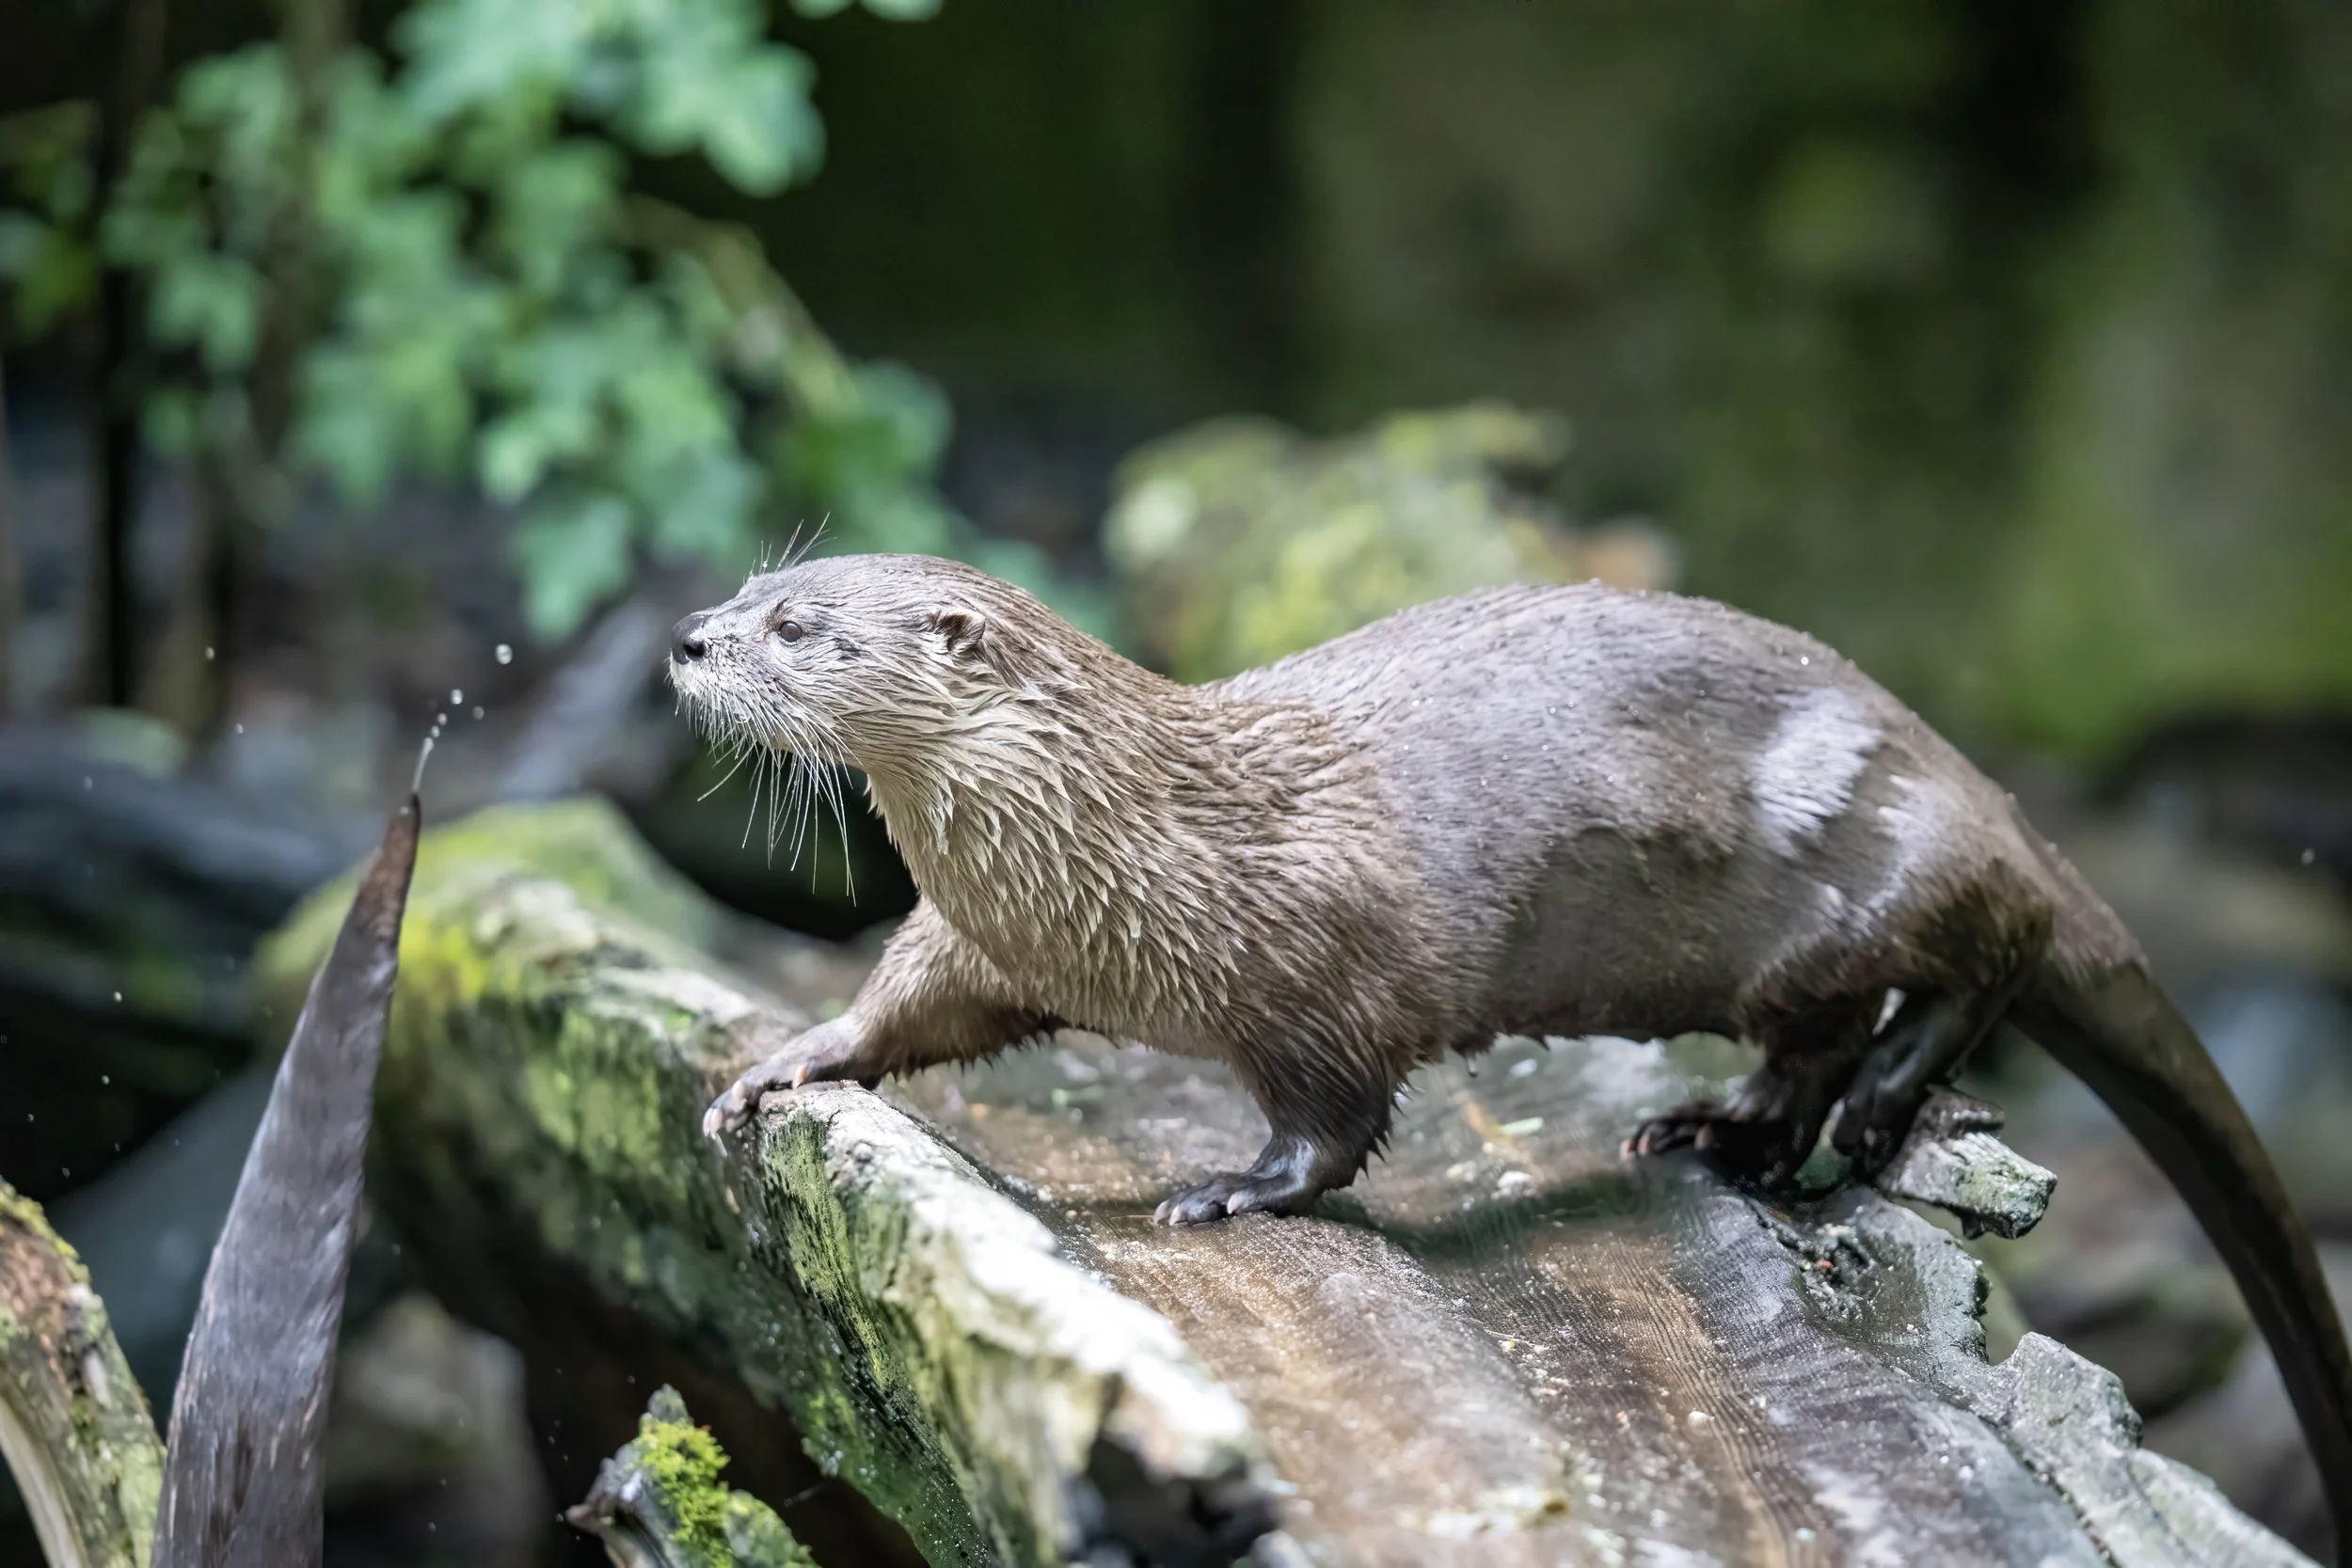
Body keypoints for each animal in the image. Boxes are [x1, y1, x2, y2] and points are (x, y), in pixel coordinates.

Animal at [670, 552, 2352, 1553]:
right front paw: (790, 1058)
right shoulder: (995, 941)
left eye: (799, 627)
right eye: (755, 582)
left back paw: (1875, 1102)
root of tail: (1963, 768)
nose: (686, 637)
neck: (1121, 848)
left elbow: (1336, 1116)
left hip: (1866, 868)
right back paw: (1720, 1133)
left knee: (1983, 942)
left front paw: (1229, 1188)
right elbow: (912, 1007)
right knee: (1823, 1036)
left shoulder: (1321, 974)